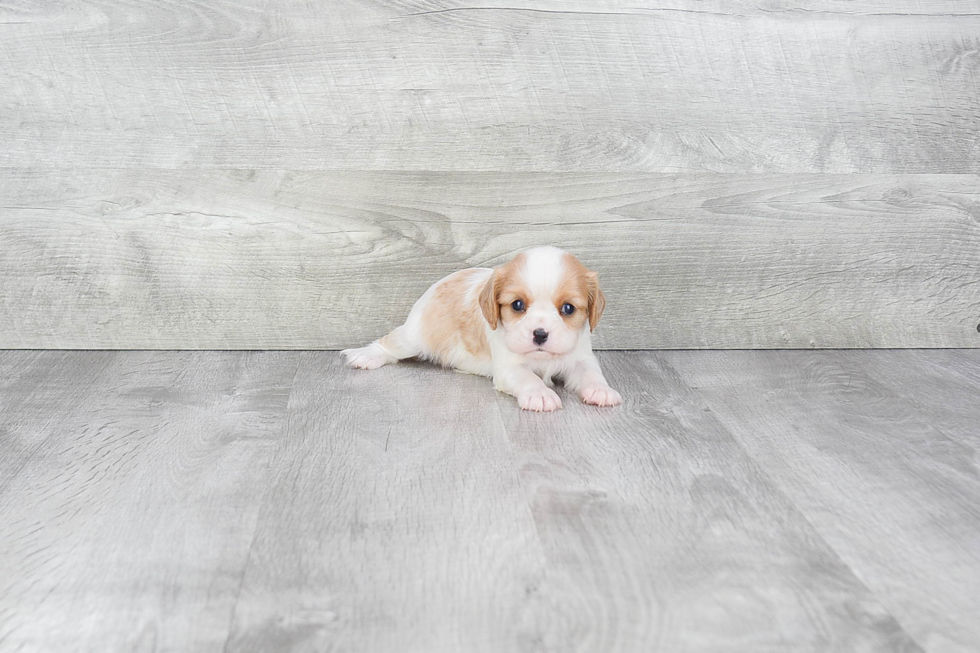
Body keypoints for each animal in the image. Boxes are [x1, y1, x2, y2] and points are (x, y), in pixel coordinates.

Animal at [340, 247, 624, 410]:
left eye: (568, 309)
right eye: (517, 305)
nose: (540, 334)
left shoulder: (581, 358)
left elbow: (591, 373)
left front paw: (601, 390)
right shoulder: (509, 368)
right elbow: (528, 378)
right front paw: (540, 394)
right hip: (414, 337)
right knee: (389, 344)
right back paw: (366, 356)